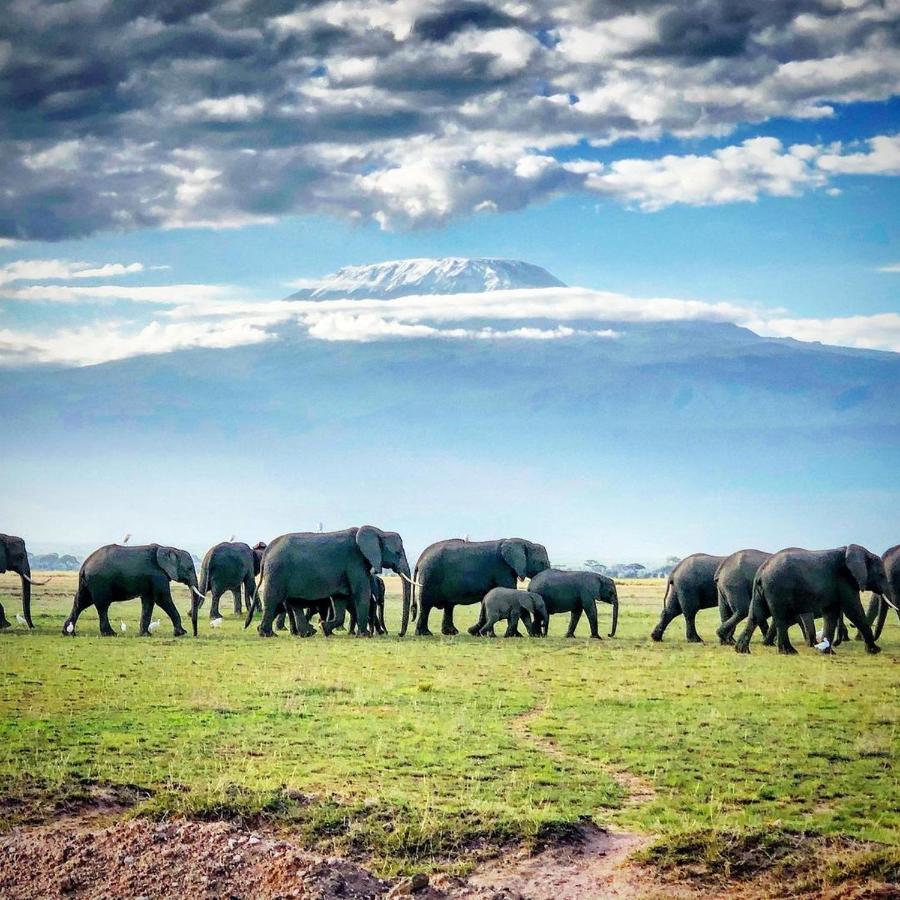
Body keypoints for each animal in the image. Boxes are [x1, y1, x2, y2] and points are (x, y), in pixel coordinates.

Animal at [63, 544, 206, 636]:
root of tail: (84, 565)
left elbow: (149, 601)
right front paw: (181, 633)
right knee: (102, 606)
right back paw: (110, 634)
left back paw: (68, 633)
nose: (195, 634)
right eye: (189, 568)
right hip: (99, 581)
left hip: (88, 582)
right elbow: (162, 599)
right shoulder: (157, 575)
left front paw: (145, 634)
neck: (170, 548)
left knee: (81, 602)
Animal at [250, 524, 412, 636]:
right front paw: (365, 635)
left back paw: (304, 633)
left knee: (290, 603)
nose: (400, 634)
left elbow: (339, 599)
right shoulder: (355, 562)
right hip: (276, 572)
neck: (378, 531)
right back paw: (268, 634)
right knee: (273, 600)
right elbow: (362, 593)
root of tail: (268, 550)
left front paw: (324, 628)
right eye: (398, 553)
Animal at [404, 536, 552, 636]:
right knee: (426, 605)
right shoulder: (502, 569)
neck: (519, 542)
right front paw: (515, 635)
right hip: (430, 576)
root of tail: (420, 559)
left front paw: (475, 632)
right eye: (542, 563)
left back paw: (451, 632)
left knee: (448, 606)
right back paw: (425, 633)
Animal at [736, 544, 888, 656]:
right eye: (881, 574)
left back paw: (742, 650)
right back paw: (789, 652)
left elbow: (831, 613)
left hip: (762, 590)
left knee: (756, 615)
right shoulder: (845, 581)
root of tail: (761, 571)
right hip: (778, 588)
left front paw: (827, 652)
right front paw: (875, 650)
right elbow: (853, 610)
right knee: (780, 618)